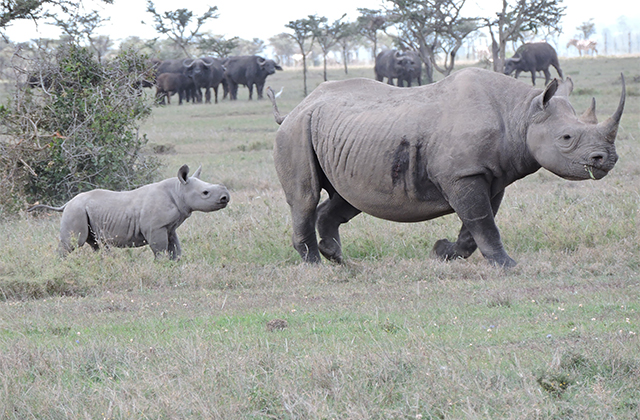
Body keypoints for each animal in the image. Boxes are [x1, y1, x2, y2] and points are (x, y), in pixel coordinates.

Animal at [28, 165, 230, 260]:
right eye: (205, 193)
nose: (226, 197)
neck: (179, 190)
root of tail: (66, 204)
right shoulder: (156, 227)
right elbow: (160, 250)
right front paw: (162, 266)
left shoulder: (169, 227)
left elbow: (175, 249)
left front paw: (175, 265)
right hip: (75, 211)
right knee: (72, 244)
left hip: (82, 211)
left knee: (96, 244)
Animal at [267, 68, 625, 267]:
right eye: (566, 138)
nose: (607, 159)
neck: (522, 113)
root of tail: (295, 109)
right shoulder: (464, 173)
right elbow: (482, 222)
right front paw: (508, 265)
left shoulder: (491, 174)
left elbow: (477, 224)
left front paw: (442, 252)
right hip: (296, 131)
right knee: (305, 196)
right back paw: (314, 265)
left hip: (345, 138)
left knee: (348, 198)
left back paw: (339, 259)